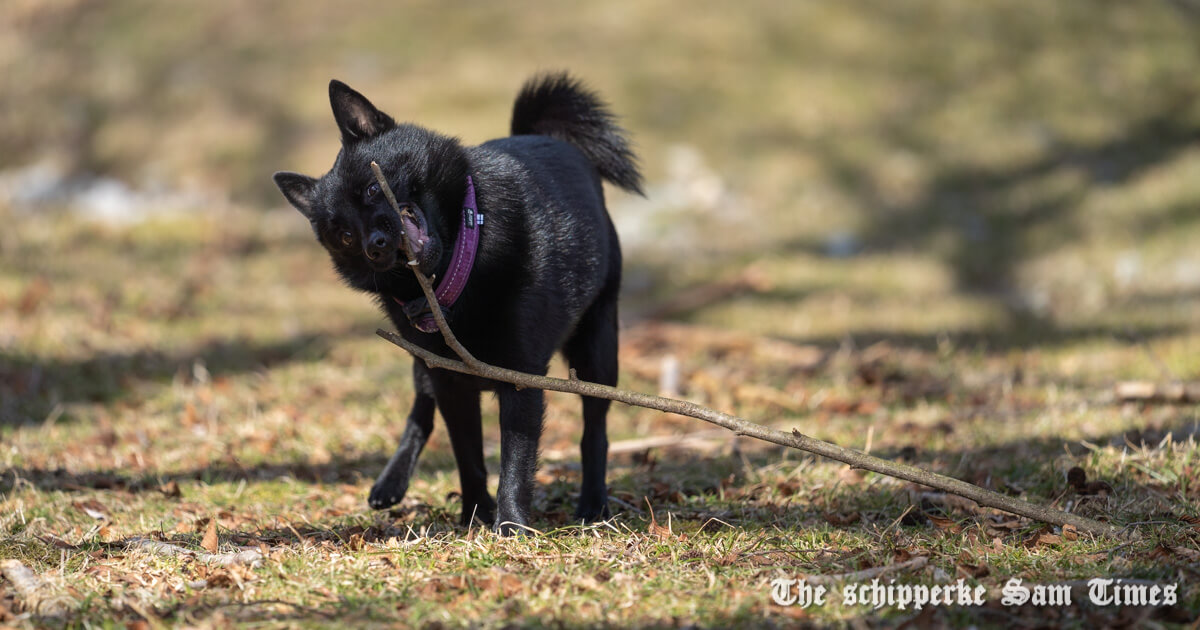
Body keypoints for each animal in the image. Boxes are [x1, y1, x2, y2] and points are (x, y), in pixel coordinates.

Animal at [272, 73, 643, 535]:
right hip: (421, 356)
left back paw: (593, 503)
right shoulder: (448, 378)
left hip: (597, 350)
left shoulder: (519, 379)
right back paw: (391, 480)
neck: (457, 274)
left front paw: (512, 526)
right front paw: (474, 517)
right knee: (421, 405)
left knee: (595, 429)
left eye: (374, 188)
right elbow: (468, 455)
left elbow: (515, 462)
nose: (376, 245)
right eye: (343, 235)